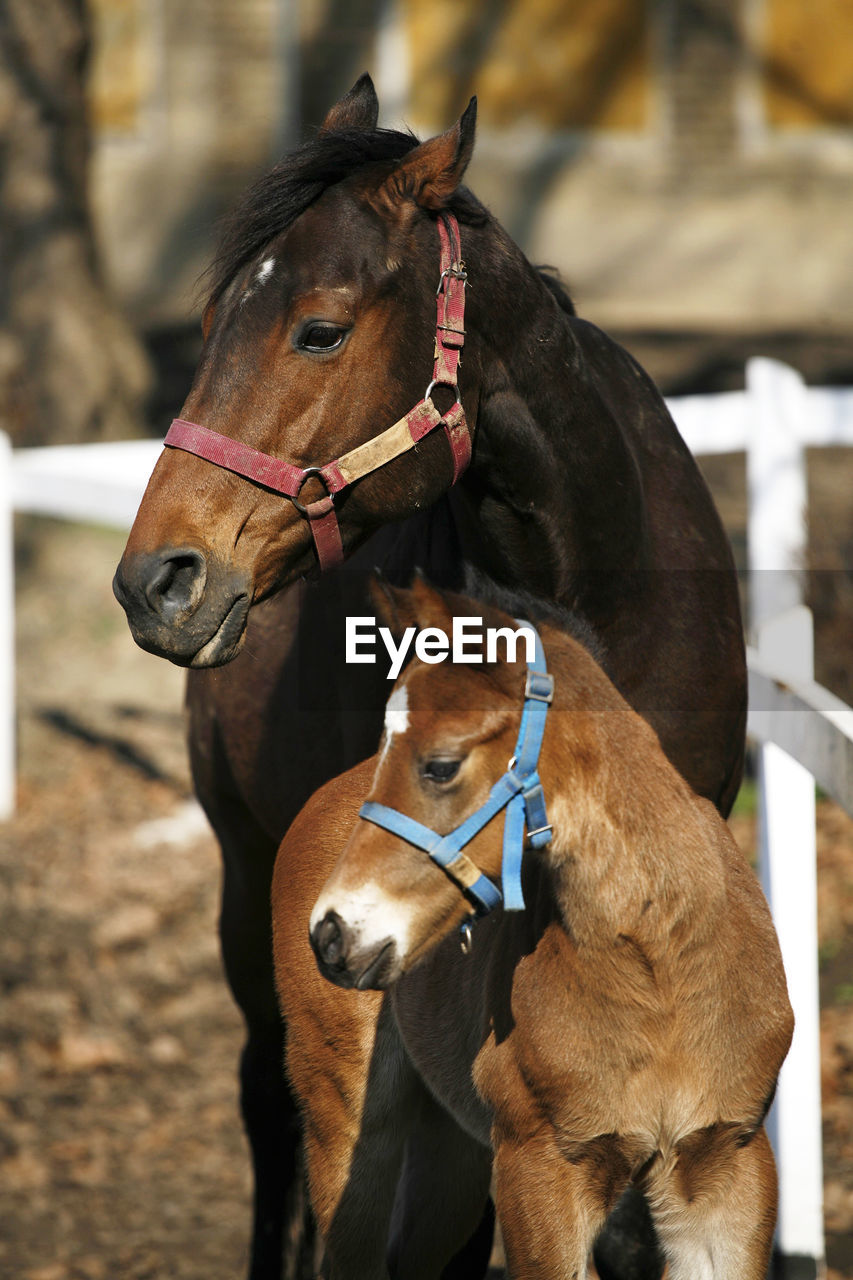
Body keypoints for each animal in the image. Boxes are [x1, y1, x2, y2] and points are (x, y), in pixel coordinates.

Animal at [274, 583, 788, 1280]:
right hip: (350, 1119)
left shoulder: (727, 1163)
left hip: (453, 1146)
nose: (331, 933)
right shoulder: (540, 1168)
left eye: (440, 766)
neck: (660, 970)